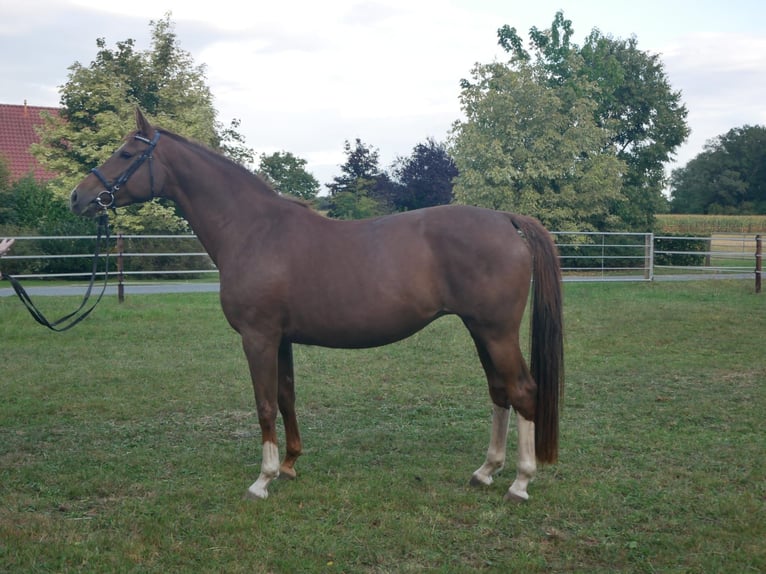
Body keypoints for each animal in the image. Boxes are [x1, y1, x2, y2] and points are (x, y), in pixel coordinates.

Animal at [70, 109, 564, 502]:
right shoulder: (280, 338)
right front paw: (289, 465)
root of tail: (506, 219)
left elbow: (264, 403)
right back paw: (486, 471)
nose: (78, 197)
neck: (254, 230)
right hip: (479, 329)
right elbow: (286, 396)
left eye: (125, 154)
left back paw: (520, 482)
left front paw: (262, 480)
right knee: (499, 392)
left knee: (522, 391)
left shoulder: (258, 338)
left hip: (496, 331)